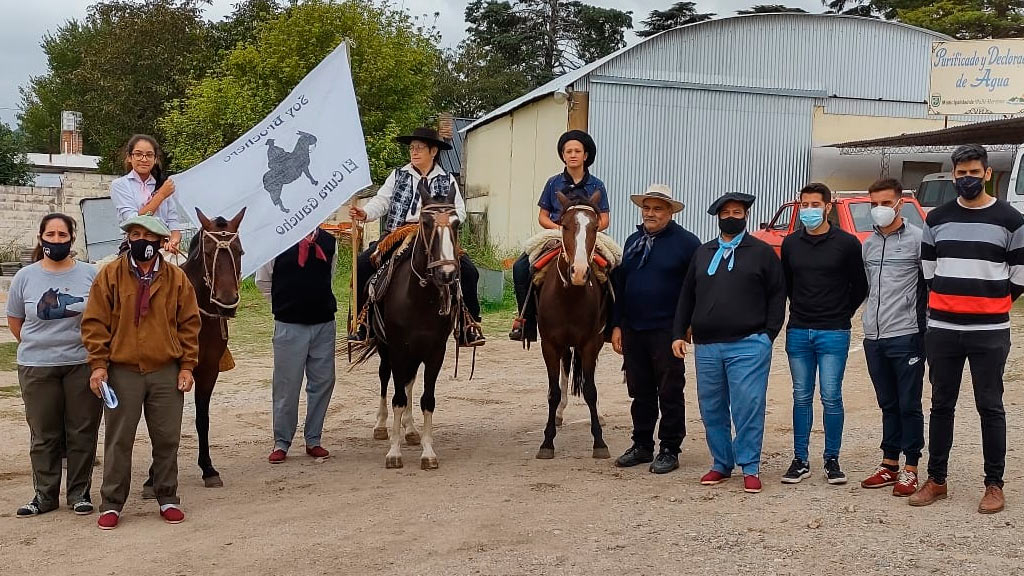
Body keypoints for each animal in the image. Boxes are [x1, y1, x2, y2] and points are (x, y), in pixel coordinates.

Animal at [142, 206, 245, 494]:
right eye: (208, 252)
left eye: (240, 251)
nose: (226, 301)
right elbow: (161, 424)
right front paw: (152, 477)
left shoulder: (208, 371)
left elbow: (202, 419)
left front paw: (208, 469)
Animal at [354, 190, 462, 469]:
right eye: (426, 223)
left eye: (456, 223)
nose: (446, 274)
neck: (420, 299)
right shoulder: (398, 348)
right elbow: (398, 398)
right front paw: (394, 452)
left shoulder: (435, 351)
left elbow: (426, 399)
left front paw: (428, 451)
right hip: (386, 348)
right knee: (386, 378)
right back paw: (381, 426)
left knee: (409, 381)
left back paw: (411, 429)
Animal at [532, 190, 610, 459]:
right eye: (564, 225)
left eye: (595, 226)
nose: (579, 272)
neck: (569, 296)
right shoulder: (549, 345)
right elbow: (553, 392)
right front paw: (547, 442)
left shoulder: (590, 344)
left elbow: (591, 390)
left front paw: (599, 442)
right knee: (564, 373)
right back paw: (558, 415)